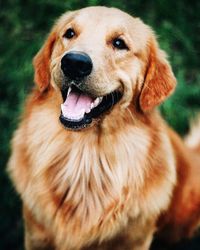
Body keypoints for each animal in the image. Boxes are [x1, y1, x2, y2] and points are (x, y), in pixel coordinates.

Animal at [7, 5, 200, 250]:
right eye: (69, 33)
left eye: (119, 43)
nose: (74, 63)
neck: (85, 156)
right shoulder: (35, 235)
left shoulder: (135, 240)